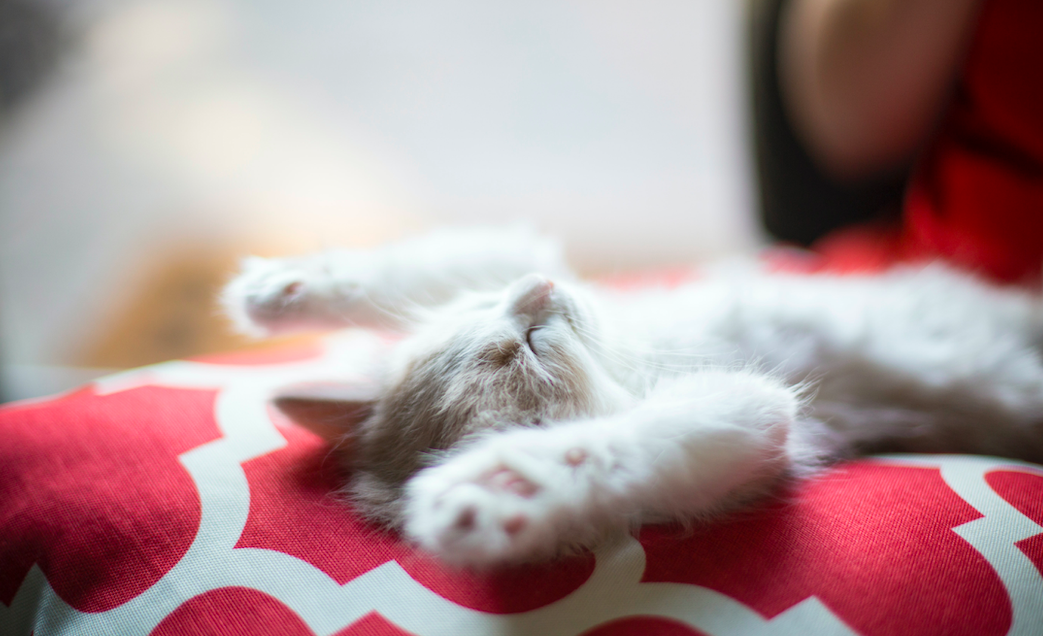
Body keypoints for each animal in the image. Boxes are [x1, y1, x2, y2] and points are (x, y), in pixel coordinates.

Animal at [224, 225, 1043, 563]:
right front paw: (498, 489)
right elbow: (604, 448)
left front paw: (281, 288)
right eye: (531, 342)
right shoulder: (757, 413)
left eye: (495, 310)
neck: (629, 356)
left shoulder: (524, 262)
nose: (539, 292)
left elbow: (440, 264)